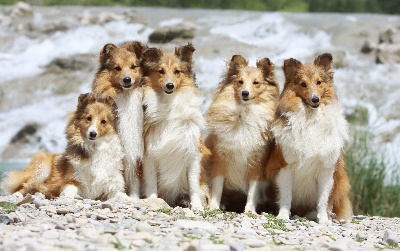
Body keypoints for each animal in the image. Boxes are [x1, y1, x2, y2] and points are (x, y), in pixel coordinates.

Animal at [92, 41, 148, 199]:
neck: (126, 96)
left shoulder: (135, 150)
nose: (127, 79)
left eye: (134, 66)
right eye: (117, 68)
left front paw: (134, 198)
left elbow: (134, 178)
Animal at [140, 43, 209, 210]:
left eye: (177, 71)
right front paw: (153, 200)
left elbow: (193, 184)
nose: (169, 85)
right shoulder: (149, 154)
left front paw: (196, 206)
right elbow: (151, 183)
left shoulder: (193, 153)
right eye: (161, 71)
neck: (170, 104)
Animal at [205, 54, 280, 212]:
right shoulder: (221, 157)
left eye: (256, 83)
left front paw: (250, 210)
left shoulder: (257, 160)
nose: (245, 93)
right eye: (240, 81)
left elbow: (253, 189)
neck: (244, 114)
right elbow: (217, 185)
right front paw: (214, 206)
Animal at [268, 53, 352, 224]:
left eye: (319, 82)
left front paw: (323, 220)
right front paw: (283, 216)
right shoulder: (284, 166)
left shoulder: (326, 169)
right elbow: (286, 196)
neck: (310, 118)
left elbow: (323, 199)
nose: (315, 99)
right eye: (303, 84)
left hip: (342, 181)